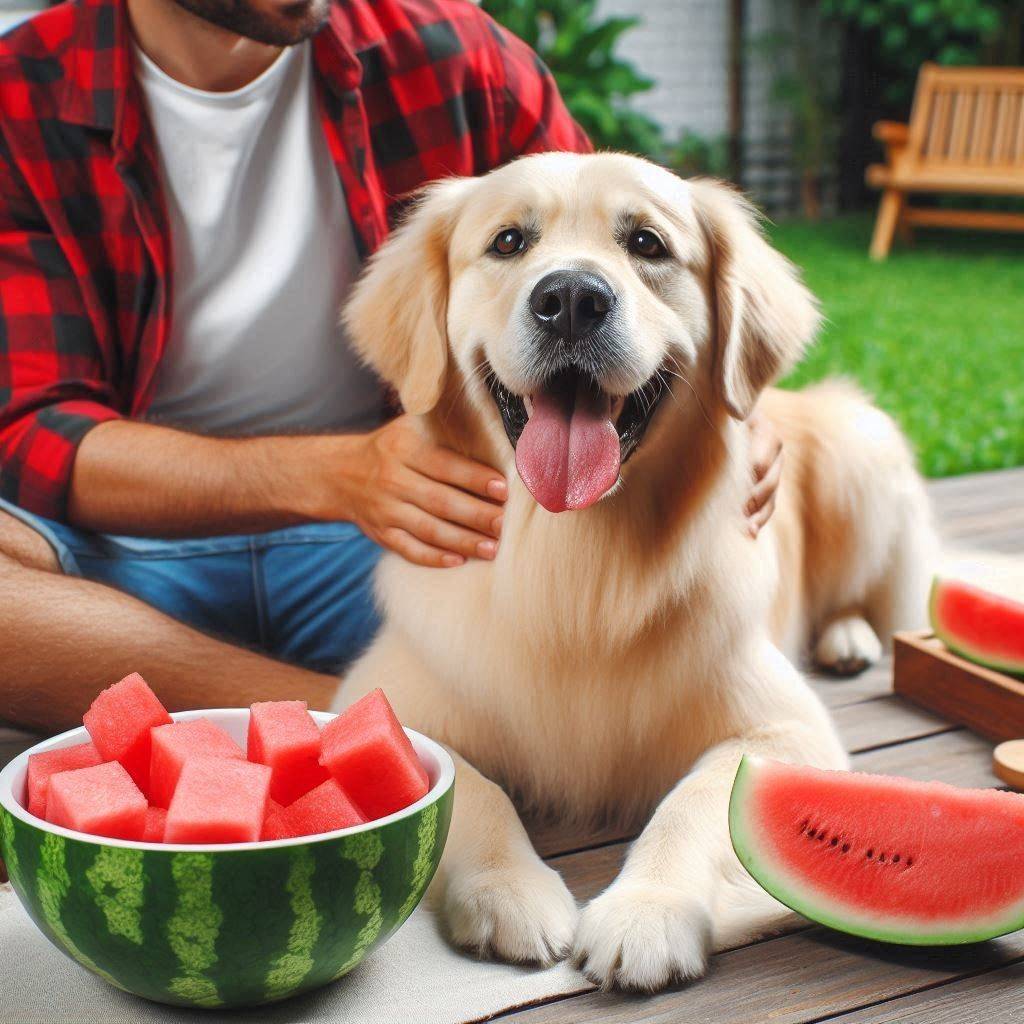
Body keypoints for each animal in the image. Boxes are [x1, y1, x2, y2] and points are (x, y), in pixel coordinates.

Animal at [333, 153, 937, 991]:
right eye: (509, 241)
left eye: (647, 243)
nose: (571, 302)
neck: (576, 559)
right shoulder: (382, 695)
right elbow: (472, 791)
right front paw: (513, 891)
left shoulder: (784, 726)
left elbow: (696, 803)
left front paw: (646, 913)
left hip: (862, 441)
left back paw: (848, 636)